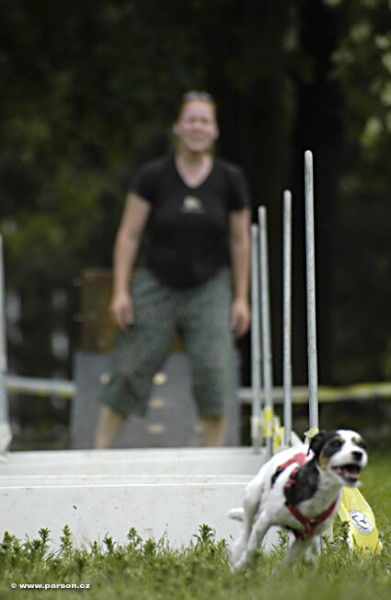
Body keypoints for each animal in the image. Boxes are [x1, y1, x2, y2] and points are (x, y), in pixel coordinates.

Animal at [230, 426, 368, 568]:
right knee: (246, 528)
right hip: (252, 495)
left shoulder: (305, 537)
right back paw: (238, 550)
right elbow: (252, 548)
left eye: (362, 445)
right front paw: (240, 567)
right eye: (335, 444)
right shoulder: (265, 521)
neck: (320, 493)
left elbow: (288, 562)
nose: (358, 453)